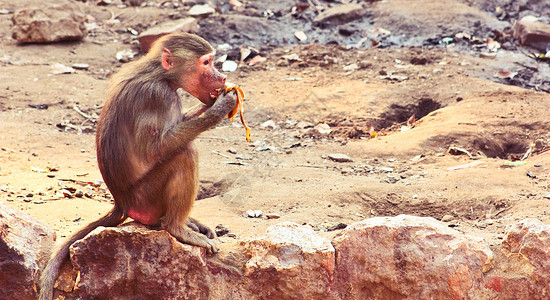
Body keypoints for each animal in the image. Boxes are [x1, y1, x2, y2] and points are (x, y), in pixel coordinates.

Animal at [38, 31, 237, 298]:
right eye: (206, 63)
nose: (222, 77)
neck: (161, 76)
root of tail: (121, 202)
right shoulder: (158, 96)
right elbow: (157, 149)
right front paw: (219, 108)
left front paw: (212, 103)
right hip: (146, 198)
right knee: (184, 154)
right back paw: (178, 228)